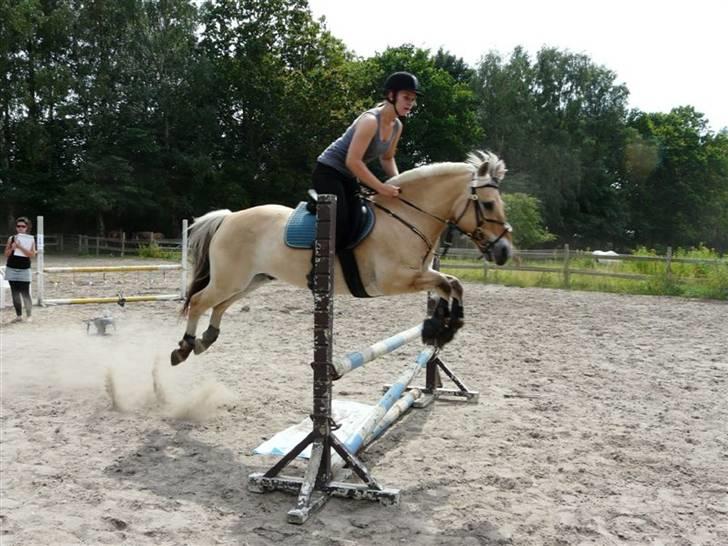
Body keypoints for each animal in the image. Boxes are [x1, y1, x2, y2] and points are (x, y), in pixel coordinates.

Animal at [170, 149, 512, 364]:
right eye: (488, 204)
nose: (505, 251)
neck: (406, 218)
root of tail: (228, 218)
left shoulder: (421, 274)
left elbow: (450, 284)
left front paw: (440, 327)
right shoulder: (395, 280)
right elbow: (449, 283)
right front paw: (445, 326)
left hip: (251, 280)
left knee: (219, 306)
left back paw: (206, 339)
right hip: (231, 279)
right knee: (199, 302)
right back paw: (184, 348)